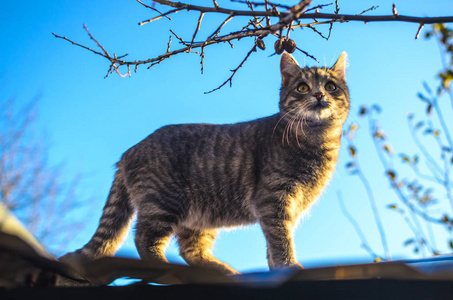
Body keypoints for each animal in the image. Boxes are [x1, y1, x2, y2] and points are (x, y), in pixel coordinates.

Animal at [62, 52, 350, 274]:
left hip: (198, 219)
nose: (319, 95)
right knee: (145, 238)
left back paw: (224, 271)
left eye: (331, 86)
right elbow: (280, 239)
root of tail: (127, 153)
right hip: (163, 202)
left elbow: (273, 243)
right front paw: (288, 266)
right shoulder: (273, 200)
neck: (317, 141)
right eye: (302, 87)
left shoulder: (287, 208)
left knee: (191, 250)